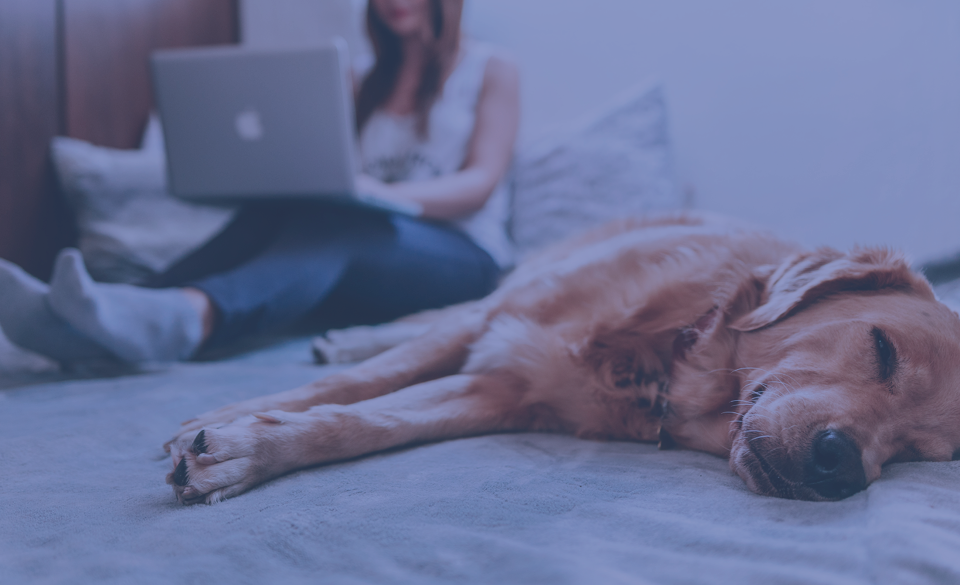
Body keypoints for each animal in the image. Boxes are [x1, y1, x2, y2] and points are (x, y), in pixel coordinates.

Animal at [165, 214, 960, 502]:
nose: (841, 466)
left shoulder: (498, 390)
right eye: (881, 348)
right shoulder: (497, 326)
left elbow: (366, 421)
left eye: (929, 453)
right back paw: (347, 334)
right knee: (421, 323)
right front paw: (231, 420)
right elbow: (364, 382)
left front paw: (245, 449)